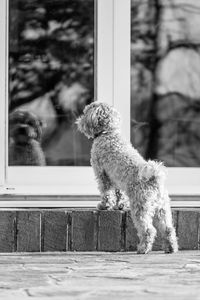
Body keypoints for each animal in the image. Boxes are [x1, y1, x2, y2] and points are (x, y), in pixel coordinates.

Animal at [76, 101, 178, 253]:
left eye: (85, 112)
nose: (79, 121)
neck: (108, 133)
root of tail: (154, 180)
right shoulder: (116, 179)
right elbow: (119, 194)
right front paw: (119, 206)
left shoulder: (102, 173)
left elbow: (106, 193)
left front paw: (104, 206)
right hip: (162, 209)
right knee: (168, 229)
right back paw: (170, 248)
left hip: (140, 207)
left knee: (149, 230)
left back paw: (143, 248)